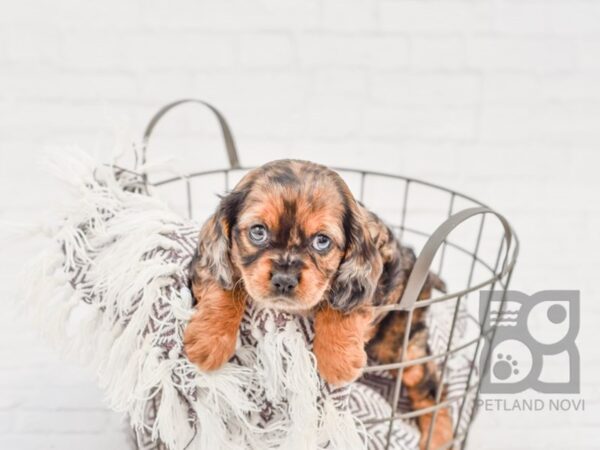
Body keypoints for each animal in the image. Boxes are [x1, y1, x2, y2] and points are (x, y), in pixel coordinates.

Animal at [185, 161, 452, 450]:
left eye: (321, 241)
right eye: (258, 232)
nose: (284, 280)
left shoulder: (375, 271)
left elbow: (342, 302)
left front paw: (338, 359)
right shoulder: (209, 262)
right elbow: (224, 284)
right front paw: (209, 341)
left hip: (400, 344)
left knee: (432, 388)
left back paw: (438, 436)